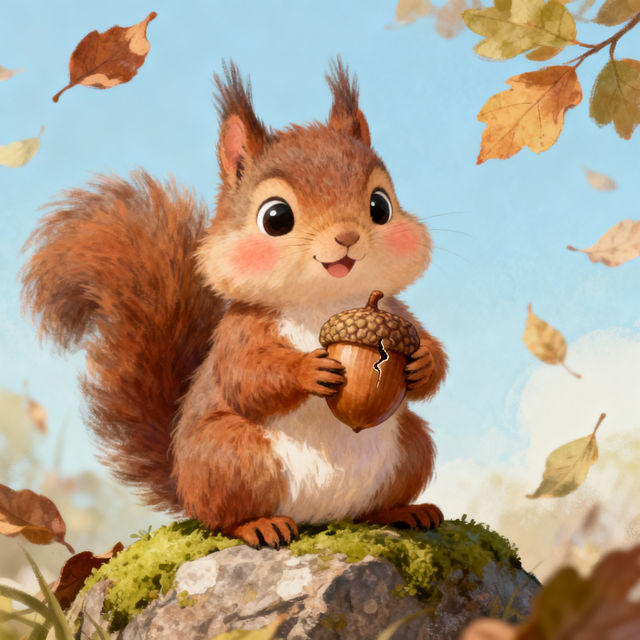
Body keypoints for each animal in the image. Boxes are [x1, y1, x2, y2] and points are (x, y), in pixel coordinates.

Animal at [21, 59, 448, 549]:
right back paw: (260, 525)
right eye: (275, 218)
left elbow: (431, 350)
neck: (324, 301)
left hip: (411, 446)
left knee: (374, 504)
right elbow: (247, 376)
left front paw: (422, 363)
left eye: (380, 206)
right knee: (221, 516)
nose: (347, 236)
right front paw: (308, 369)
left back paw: (404, 511)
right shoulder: (239, 331)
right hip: (229, 456)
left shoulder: (395, 312)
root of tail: (322, 516)